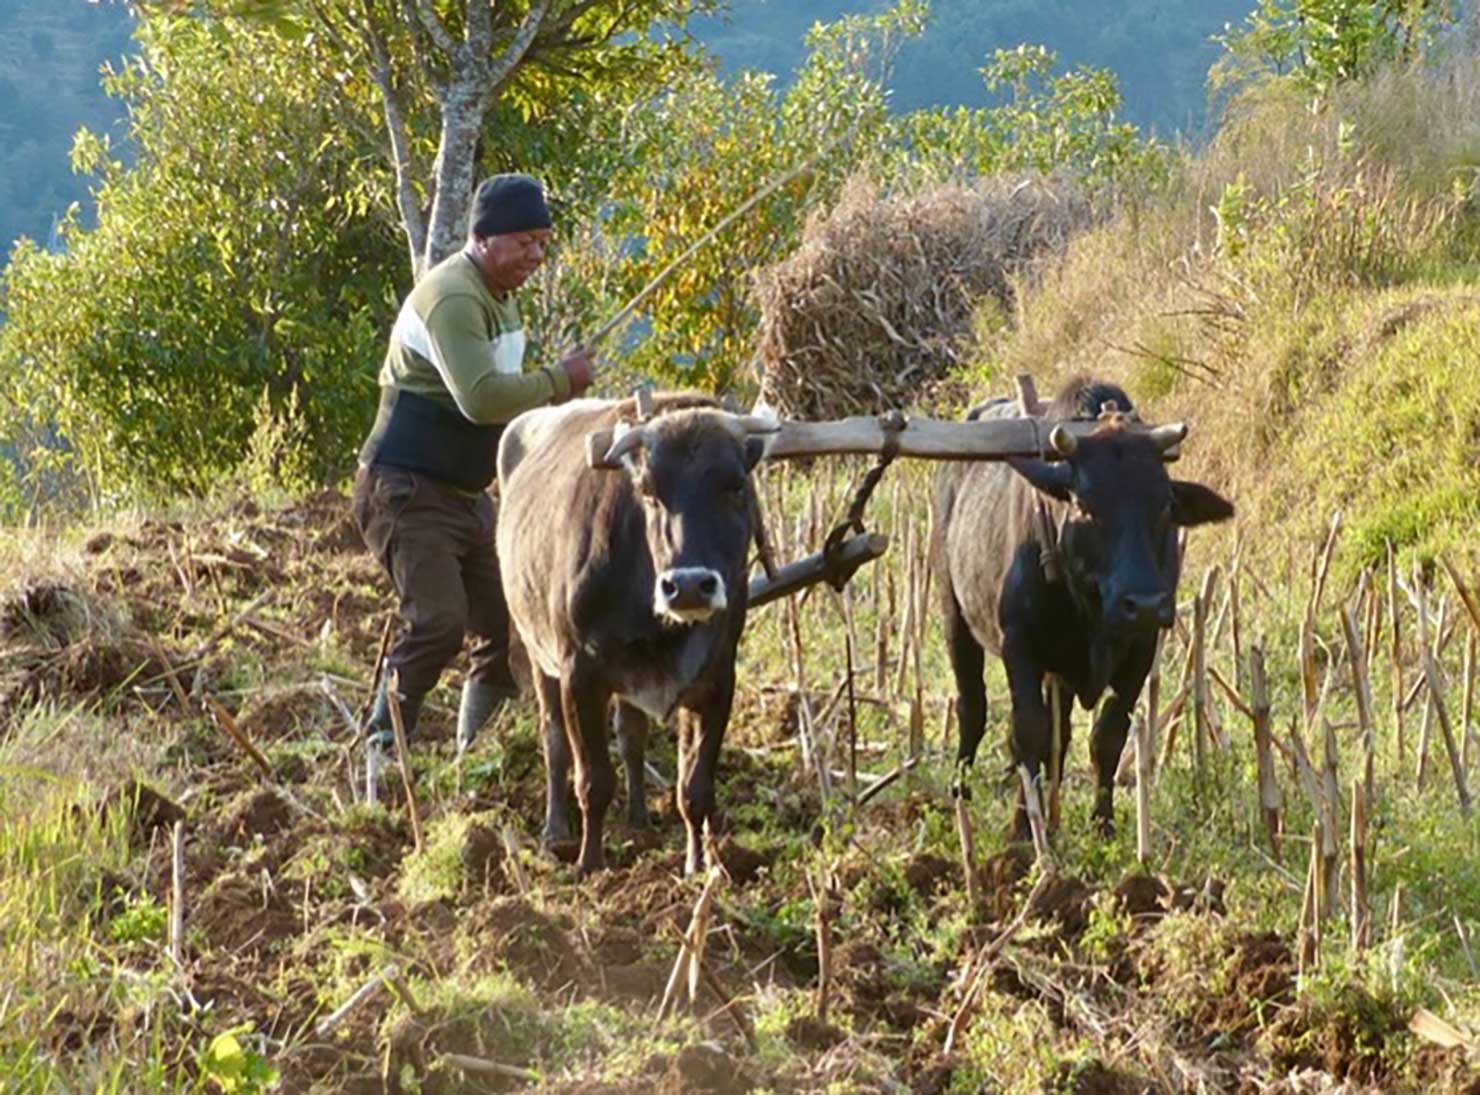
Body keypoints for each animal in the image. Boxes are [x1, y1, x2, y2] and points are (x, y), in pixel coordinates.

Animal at [496, 394, 773, 877]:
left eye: (737, 485)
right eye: (648, 491)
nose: (688, 585)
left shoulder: (717, 681)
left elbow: (694, 788)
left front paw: (698, 864)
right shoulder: (580, 676)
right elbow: (593, 781)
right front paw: (590, 864)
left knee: (631, 737)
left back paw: (640, 819)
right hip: (537, 656)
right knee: (554, 741)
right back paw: (555, 831)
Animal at [931, 378, 1234, 838]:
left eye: (1165, 504)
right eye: (1085, 506)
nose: (1145, 604)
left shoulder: (1140, 649)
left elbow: (1107, 736)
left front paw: (1102, 824)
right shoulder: (1020, 647)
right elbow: (1029, 732)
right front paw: (1023, 833)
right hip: (955, 615)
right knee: (972, 706)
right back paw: (960, 794)